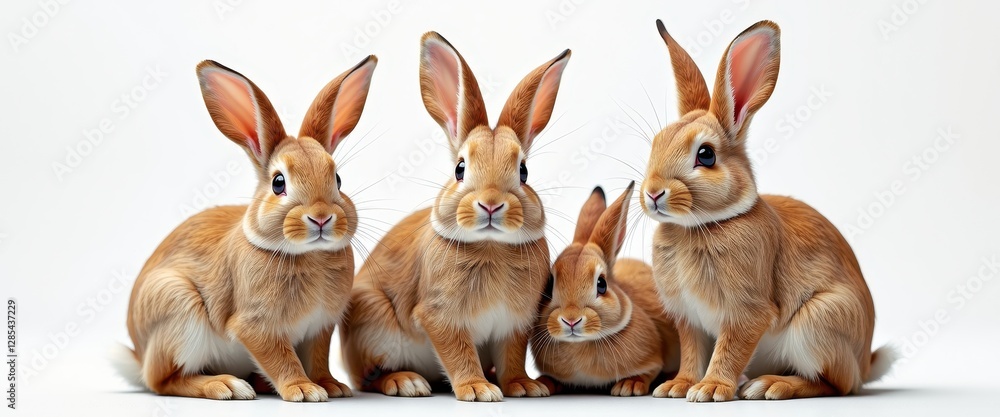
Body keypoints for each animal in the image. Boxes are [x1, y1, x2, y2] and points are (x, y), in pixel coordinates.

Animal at [114, 56, 378, 402]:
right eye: (278, 183)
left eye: (337, 179)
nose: (321, 217)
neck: (310, 254)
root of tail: (139, 353)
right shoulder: (256, 326)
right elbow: (281, 358)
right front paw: (304, 389)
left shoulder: (320, 328)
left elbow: (318, 358)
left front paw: (332, 386)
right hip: (178, 311)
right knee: (164, 380)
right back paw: (226, 385)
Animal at [339, 32, 570, 402]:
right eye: (460, 169)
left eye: (523, 172)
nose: (490, 204)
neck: (491, 245)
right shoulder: (441, 317)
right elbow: (459, 354)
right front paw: (478, 390)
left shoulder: (513, 325)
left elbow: (512, 357)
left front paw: (523, 386)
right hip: (373, 323)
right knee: (368, 377)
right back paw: (406, 382)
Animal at [530, 183, 681, 397]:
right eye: (549, 285)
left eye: (601, 284)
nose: (571, 320)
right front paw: (542, 384)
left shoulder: (654, 360)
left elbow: (648, 372)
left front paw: (629, 386)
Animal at [638, 19, 896, 402]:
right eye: (656, 144)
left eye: (706, 155)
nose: (653, 192)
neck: (702, 225)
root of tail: (865, 364)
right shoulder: (688, 319)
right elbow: (692, 353)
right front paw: (678, 386)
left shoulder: (746, 312)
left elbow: (729, 350)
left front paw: (710, 389)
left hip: (817, 323)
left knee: (834, 384)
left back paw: (770, 385)